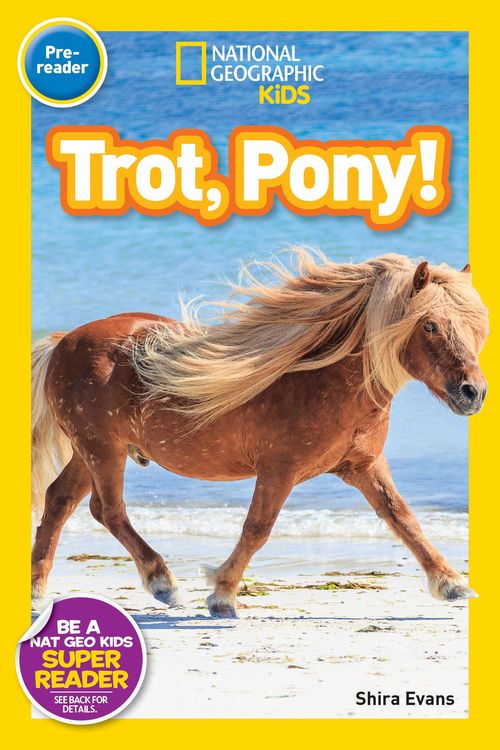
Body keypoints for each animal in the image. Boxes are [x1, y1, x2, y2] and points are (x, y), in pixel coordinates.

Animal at [31, 250, 489, 618]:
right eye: (429, 326)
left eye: (475, 327)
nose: (474, 392)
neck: (322, 379)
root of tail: (64, 341)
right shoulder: (279, 470)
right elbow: (257, 529)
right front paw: (222, 596)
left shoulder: (364, 466)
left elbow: (404, 519)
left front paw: (451, 583)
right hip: (103, 450)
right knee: (107, 510)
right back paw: (163, 583)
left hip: (91, 452)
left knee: (59, 500)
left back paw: (37, 591)